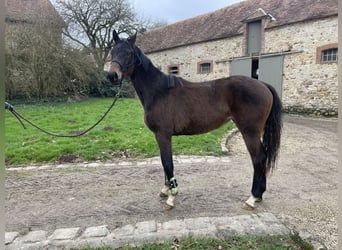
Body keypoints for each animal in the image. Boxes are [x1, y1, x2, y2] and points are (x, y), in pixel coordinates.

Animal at [108, 30, 282, 210]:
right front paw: (165, 190)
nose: (112, 76)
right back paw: (259, 196)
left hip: (249, 132)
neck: (159, 91)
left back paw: (252, 198)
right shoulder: (160, 136)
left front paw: (171, 197)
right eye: (112, 52)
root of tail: (263, 85)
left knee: (258, 158)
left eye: (128, 53)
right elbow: (164, 163)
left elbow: (167, 163)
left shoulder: (163, 135)